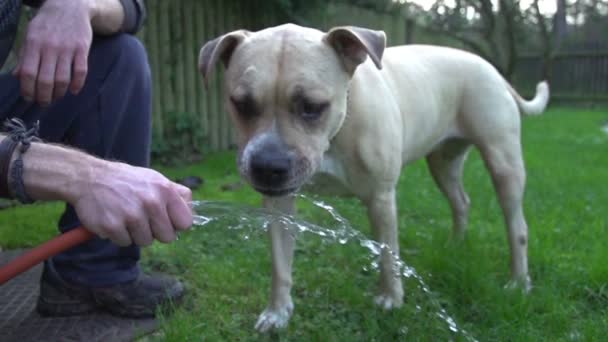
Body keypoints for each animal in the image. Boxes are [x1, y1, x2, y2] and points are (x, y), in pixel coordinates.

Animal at [200, 23, 552, 332]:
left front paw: (390, 298)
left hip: (503, 162)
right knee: (461, 202)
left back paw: (518, 282)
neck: (337, 129)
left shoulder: (380, 199)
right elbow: (279, 263)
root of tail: (491, 69)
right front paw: (277, 312)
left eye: (312, 106)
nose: (267, 165)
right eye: (241, 103)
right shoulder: (279, 204)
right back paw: (455, 245)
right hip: (443, 164)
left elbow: (386, 251)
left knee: (517, 226)